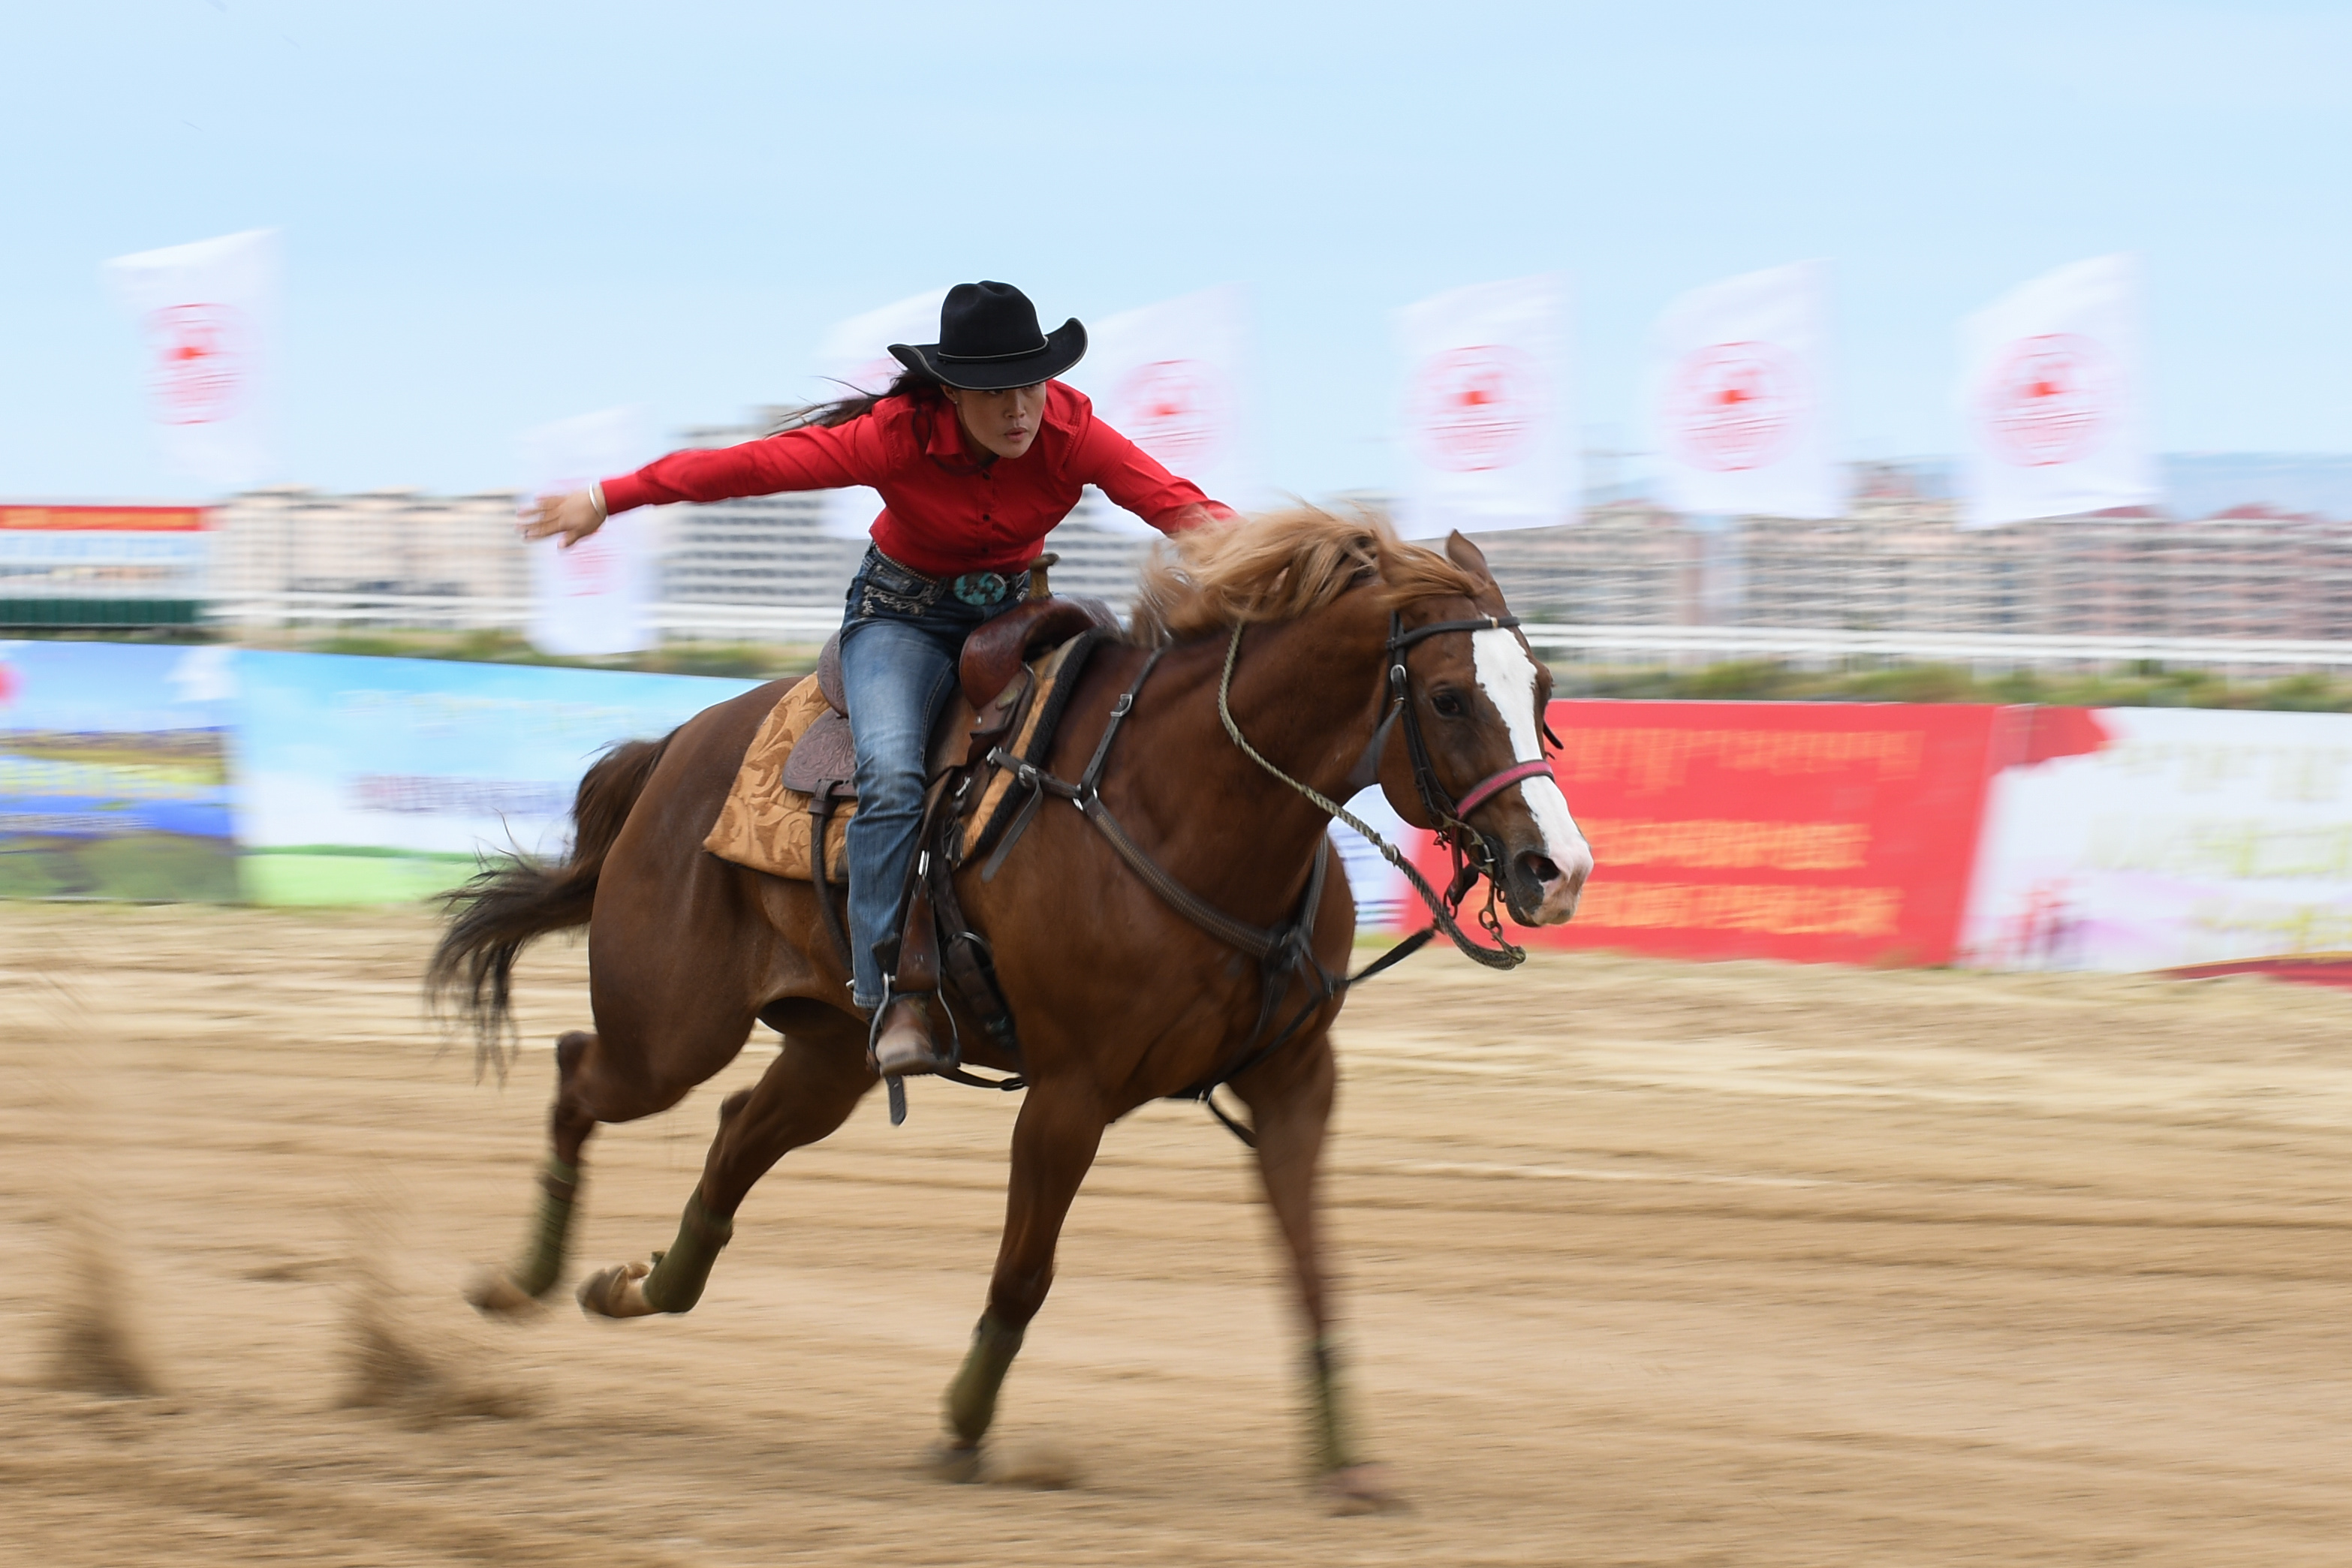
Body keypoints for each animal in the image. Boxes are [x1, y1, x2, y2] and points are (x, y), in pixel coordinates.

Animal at [430, 512, 1589, 1504]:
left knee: (732, 1137)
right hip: (670, 1031)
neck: (1183, 806)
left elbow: (1314, 1268)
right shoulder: (1070, 1093)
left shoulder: (1296, 1081)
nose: (1558, 869)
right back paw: (520, 1282)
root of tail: (672, 747)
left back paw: (632, 1285)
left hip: (831, 1054)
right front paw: (961, 1428)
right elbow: (1025, 1272)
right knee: (580, 1071)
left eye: (1539, 685)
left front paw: (1350, 1465)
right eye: (1447, 698)